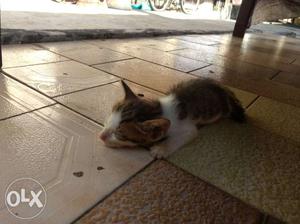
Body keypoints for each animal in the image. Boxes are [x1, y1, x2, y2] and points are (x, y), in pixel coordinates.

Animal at [99, 79, 245, 158]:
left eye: (119, 134)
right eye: (109, 120)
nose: (100, 136)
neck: (161, 108)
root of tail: (224, 89)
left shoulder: (188, 128)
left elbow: (185, 135)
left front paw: (161, 149)